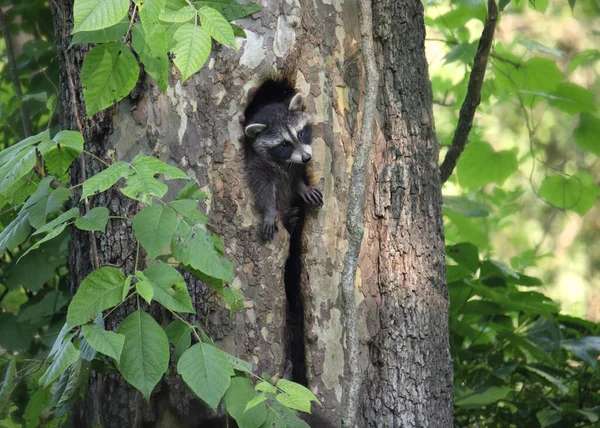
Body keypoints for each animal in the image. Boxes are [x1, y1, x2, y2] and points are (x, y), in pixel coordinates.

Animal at [243, 79, 322, 241]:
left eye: (300, 134)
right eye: (284, 144)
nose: (306, 158)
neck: (283, 161)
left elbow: (295, 177)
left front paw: (302, 187)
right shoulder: (255, 162)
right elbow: (262, 186)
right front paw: (269, 210)